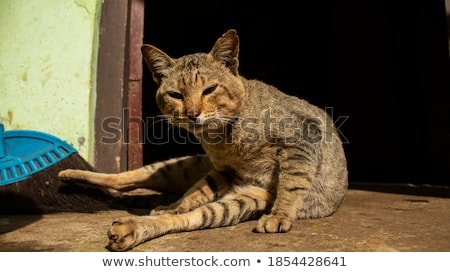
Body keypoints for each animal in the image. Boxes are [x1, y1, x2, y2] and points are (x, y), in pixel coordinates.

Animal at [59, 29, 348, 251]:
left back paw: (132, 227)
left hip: (242, 200)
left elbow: (292, 184)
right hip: (180, 168)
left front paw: (280, 214)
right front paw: (176, 204)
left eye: (210, 89)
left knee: (187, 218)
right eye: (176, 95)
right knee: (126, 181)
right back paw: (72, 174)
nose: (192, 113)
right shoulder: (222, 170)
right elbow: (197, 191)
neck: (223, 137)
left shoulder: (301, 140)